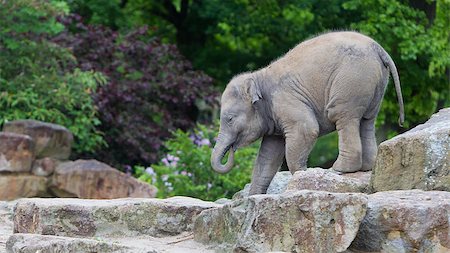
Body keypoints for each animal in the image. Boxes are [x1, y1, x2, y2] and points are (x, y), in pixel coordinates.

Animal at [210, 31, 404, 194]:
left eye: (229, 119)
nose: (232, 149)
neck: (258, 76)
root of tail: (379, 49)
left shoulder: (286, 101)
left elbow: (306, 130)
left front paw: (302, 177)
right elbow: (268, 154)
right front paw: (254, 197)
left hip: (352, 79)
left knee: (343, 115)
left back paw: (338, 169)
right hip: (374, 84)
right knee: (367, 120)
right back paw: (365, 167)